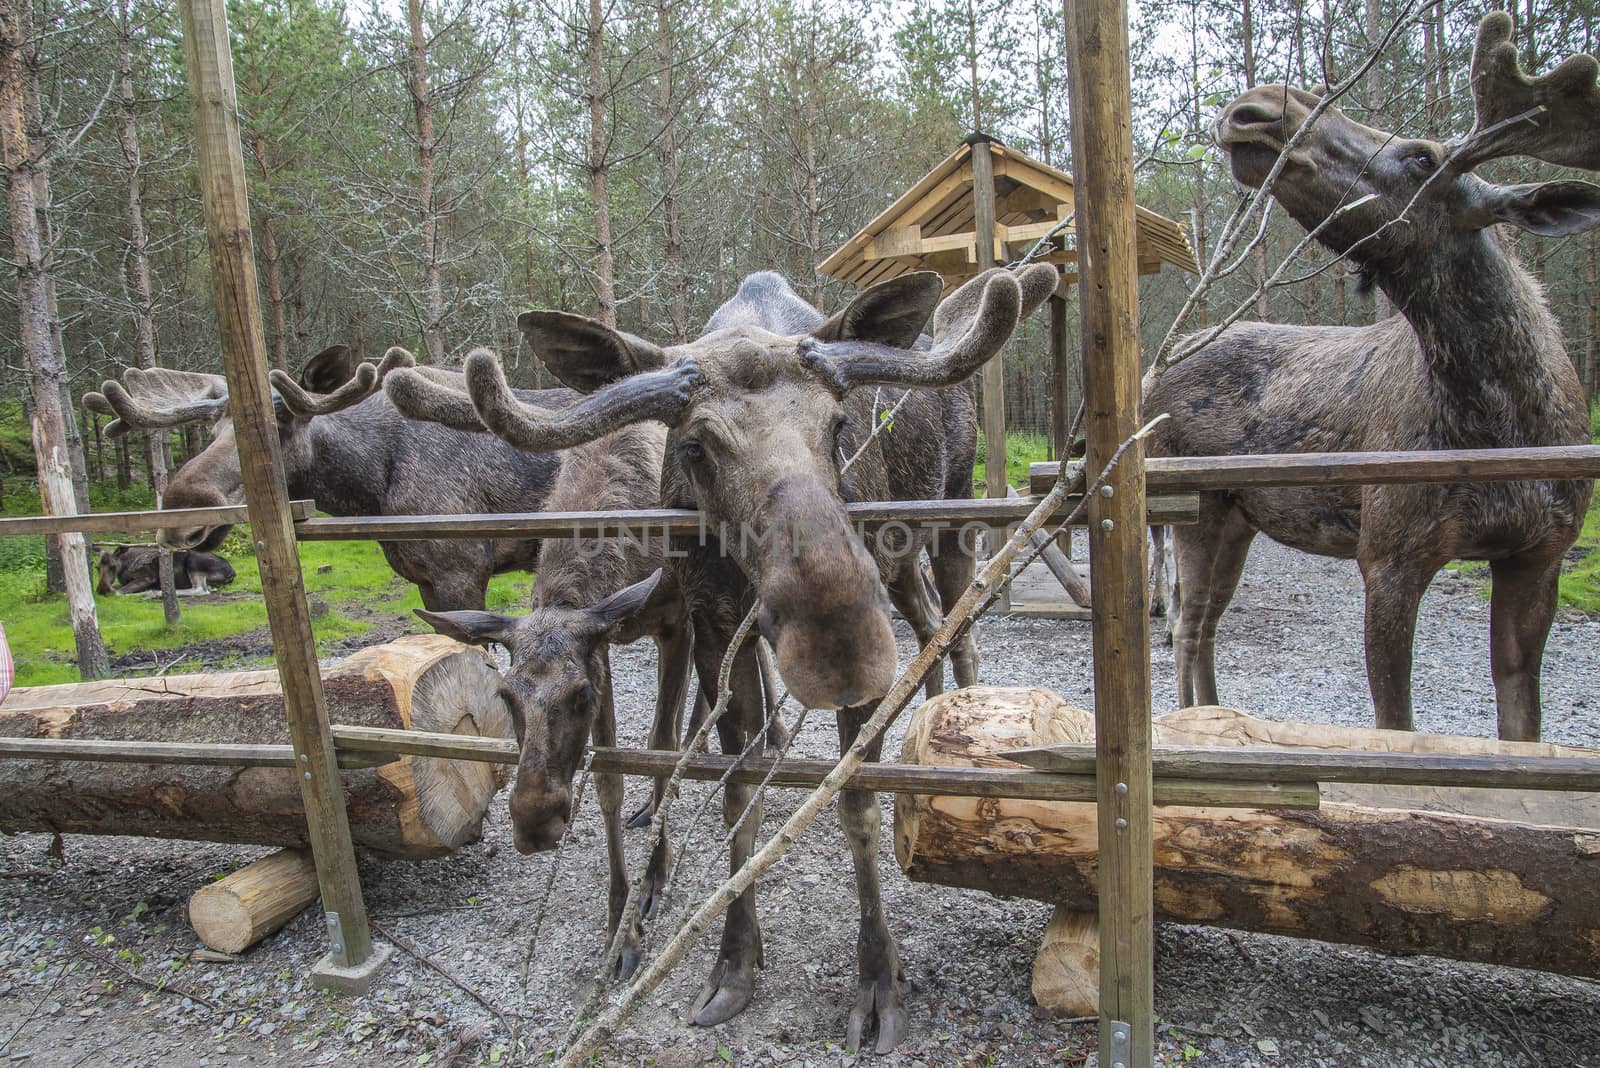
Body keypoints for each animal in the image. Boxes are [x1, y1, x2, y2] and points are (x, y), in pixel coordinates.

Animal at [95, 546, 235, 597]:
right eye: (97, 567)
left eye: (113, 566)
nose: (101, 590)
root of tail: (232, 573)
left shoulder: (147, 577)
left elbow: (117, 592)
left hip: (193, 561)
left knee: (200, 589)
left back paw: (154, 593)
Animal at [384, 262, 1062, 1048]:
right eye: (693, 448)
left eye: (839, 426)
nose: (839, 648)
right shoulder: (710, 624)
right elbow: (734, 786)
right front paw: (734, 961)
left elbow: (854, 798)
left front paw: (878, 979)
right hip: (888, 573)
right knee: (925, 624)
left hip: (946, 525)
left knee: (958, 624)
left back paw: (952, 718)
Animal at [1152, 10, 1600, 741]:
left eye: (1422, 156)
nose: (1256, 109)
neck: (1499, 421)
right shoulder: (1388, 555)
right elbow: (1397, 726)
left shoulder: (1542, 553)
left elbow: (1521, 723)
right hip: (1194, 507)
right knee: (1186, 626)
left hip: (1241, 516)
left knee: (1206, 622)